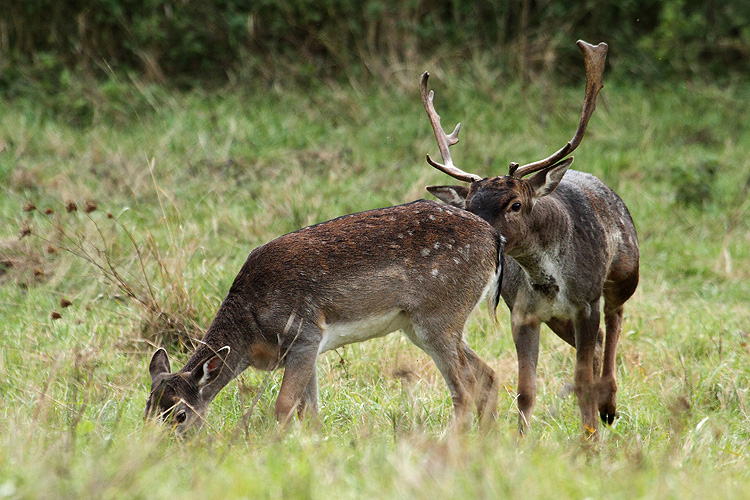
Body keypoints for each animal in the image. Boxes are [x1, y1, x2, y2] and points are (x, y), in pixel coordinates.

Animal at [145, 201, 506, 436]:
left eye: (180, 415)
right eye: (146, 408)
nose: (155, 448)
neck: (250, 329)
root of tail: (494, 238)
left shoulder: (304, 333)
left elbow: (284, 405)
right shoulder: (307, 349)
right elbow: (311, 410)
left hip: (438, 316)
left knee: (465, 388)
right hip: (425, 326)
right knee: (487, 375)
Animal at [424, 41, 640, 436]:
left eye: (515, 204)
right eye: (469, 203)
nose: (474, 230)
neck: (549, 281)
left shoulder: (586, 304)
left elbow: (581, 379)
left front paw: (590, 436)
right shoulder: (523, 313)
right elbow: (526, 389)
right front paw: (522, 438)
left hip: (624, 274)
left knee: (615, 320)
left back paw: (609, 405)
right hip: (558, 320)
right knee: (600, 341)